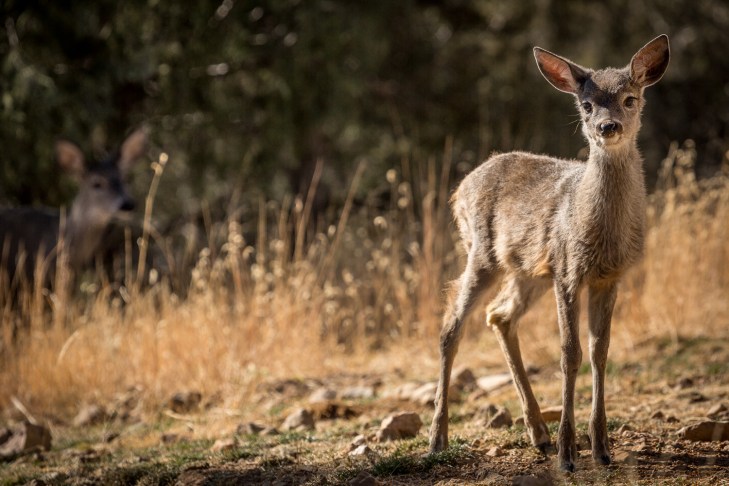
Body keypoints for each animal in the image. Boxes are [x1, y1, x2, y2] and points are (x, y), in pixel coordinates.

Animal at [428, 35, 670, 472]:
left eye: (630, 98)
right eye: (586, 104)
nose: (607, 127)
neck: (599, 230)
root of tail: (460, 189)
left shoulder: (609, 277)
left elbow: (600, 352)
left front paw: (602, 449)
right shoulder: (568, 271)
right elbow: (569, 354)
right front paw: (568, 454)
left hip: (529, 271)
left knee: (499, 315)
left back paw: (537, 433)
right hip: (483, 254)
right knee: (451, 324)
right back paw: (438, 439)